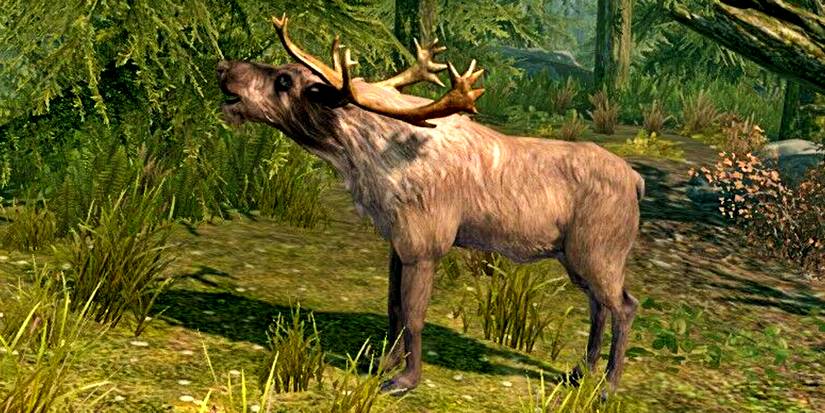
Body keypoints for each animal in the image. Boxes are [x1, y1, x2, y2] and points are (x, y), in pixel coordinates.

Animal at [216, 14, 644, 396]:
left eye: (284, 80)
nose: (222, 66)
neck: (368, 160)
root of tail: (636, 182)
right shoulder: (396, 242)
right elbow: (392, 308)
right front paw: (383, 363)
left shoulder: (424, 244)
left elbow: (414, 315)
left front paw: (405, 380)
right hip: (574, 257)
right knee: (598, 306)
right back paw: (579, 373)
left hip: (598, 251)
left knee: (625, 305)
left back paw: (607, 387)